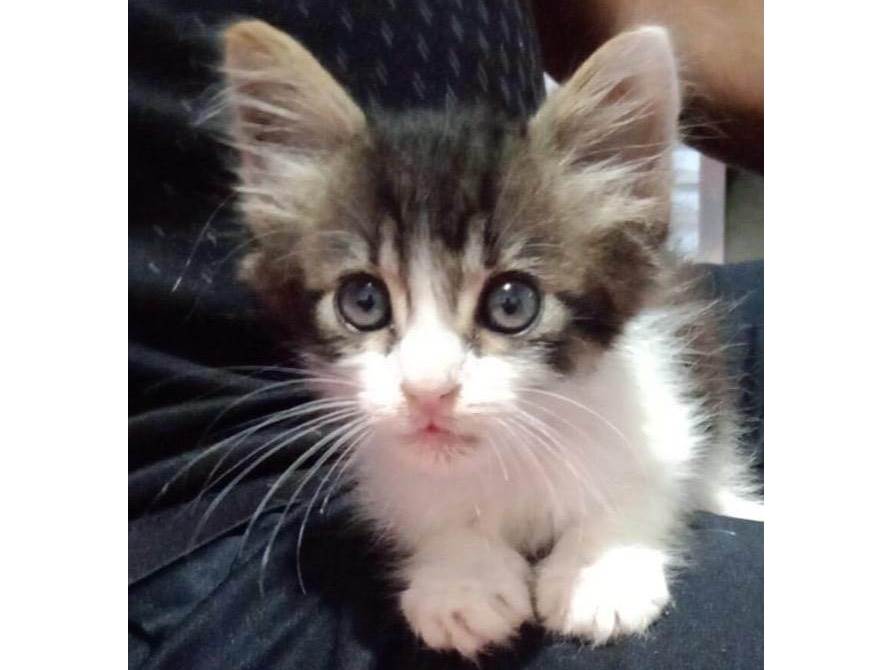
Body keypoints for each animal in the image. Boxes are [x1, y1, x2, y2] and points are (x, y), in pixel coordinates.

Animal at [219, 19, 761, 657]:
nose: (428, 391)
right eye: (363, 302)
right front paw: (461, 577)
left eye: (511, 304)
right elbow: (424, 507)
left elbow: (655, 473)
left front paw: (600, 568)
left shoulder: (669, 394)